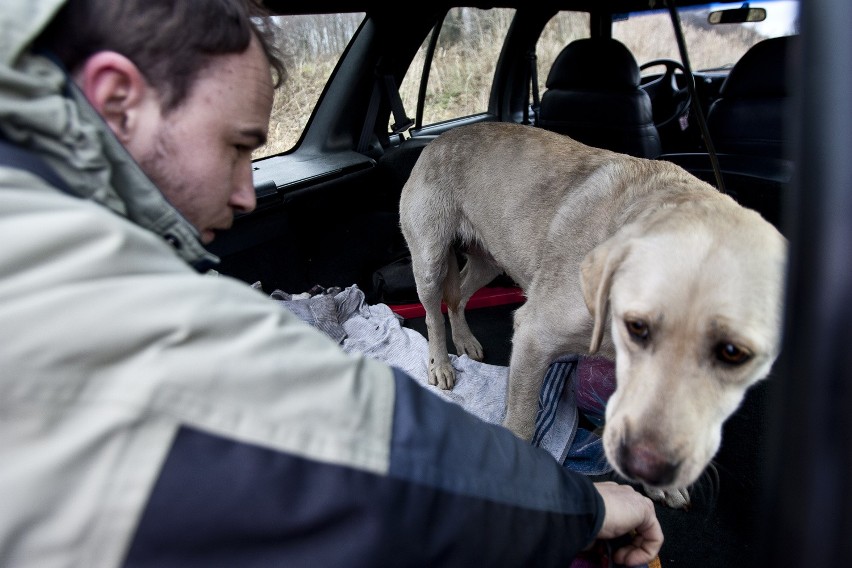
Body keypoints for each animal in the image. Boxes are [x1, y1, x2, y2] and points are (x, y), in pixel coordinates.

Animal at [400, 122, 784, 508]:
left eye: (734, 354)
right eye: (640, 326)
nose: (651, 467)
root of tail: (440, 138)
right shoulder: (533, 338)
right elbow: (522, 421)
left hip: (489, 261)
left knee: (458, 297)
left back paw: (464, 339)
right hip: (431, 259)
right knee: (433, 313)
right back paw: (440, 364)